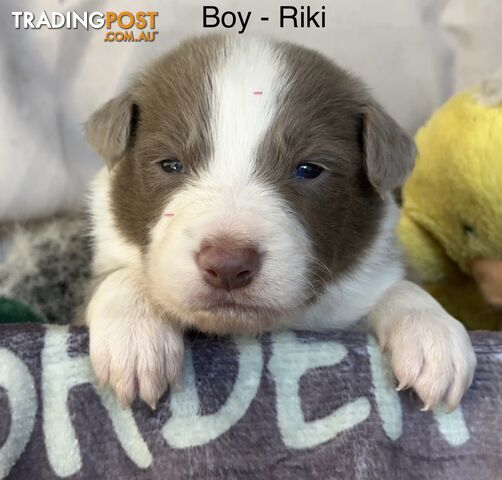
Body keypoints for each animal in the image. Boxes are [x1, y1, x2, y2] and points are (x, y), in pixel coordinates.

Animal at [84, 37, 476, 410]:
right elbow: (123, 276)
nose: (228, 266)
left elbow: (398, 288)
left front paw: (433, 334)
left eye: (308, 169)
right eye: (170, 164)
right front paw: (134, 337)